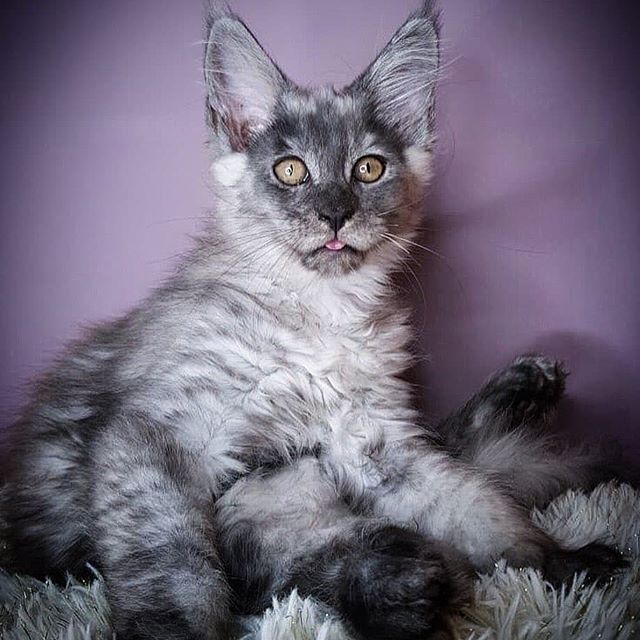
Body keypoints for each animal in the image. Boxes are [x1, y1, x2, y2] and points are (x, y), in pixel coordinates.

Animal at [0, 1, 624, 640]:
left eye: (368, 169)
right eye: (291, 171)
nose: (335, 213)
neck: (319, 314)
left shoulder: (374, 443)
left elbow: (480, 510)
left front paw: (558, 558)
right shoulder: (158, 439)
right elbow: (171, 563)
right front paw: (173, 631)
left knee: (453, 461)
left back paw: (525, 393)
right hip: (257, 496)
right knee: (301, 563)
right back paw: (405, 585)